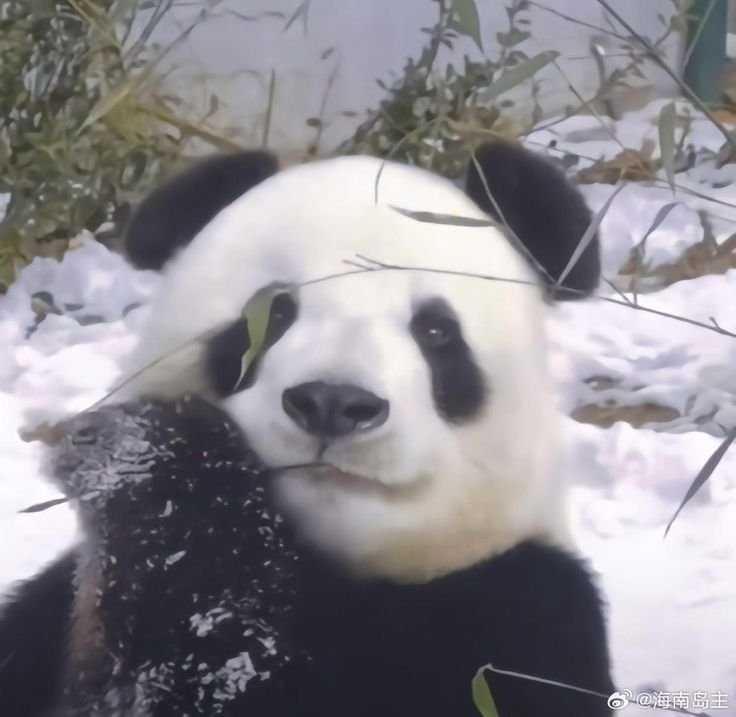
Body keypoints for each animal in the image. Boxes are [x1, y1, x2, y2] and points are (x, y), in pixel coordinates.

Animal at [0, 143, 613, 716]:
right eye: (273, 313)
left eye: (437, 331)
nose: (332, 403)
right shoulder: (47, 619)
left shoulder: (521, 621)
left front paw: (156, 468)